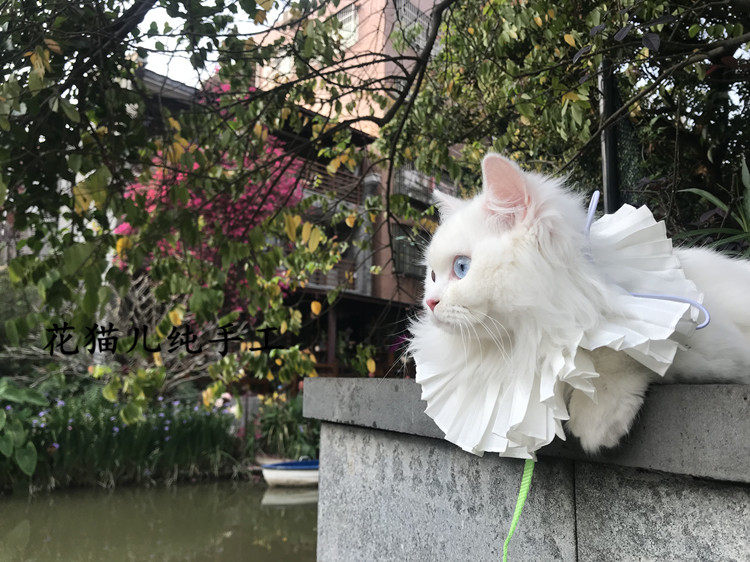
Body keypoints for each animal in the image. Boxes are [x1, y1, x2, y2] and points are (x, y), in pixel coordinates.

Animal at [411, 153, 750, 455]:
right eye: (431, 275)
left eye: (462, 268)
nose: (429, 302)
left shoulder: (707, 345)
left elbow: (620, 352)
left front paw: (596, 420)